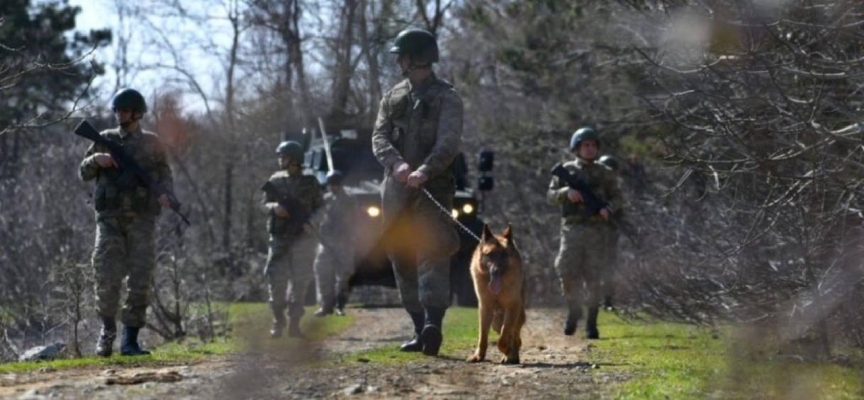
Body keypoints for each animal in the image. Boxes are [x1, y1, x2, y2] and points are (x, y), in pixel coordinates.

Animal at [470, 223, 524, 364]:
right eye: (489, 254)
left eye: (504, 255)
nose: (496, 271)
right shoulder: (485, 308)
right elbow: (482, 335)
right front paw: (479, 356)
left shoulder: (512, 307)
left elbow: (505, 335)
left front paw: (506, 349)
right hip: (496, 321)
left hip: (517, 315)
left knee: (515, 335)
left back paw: (512, 355)